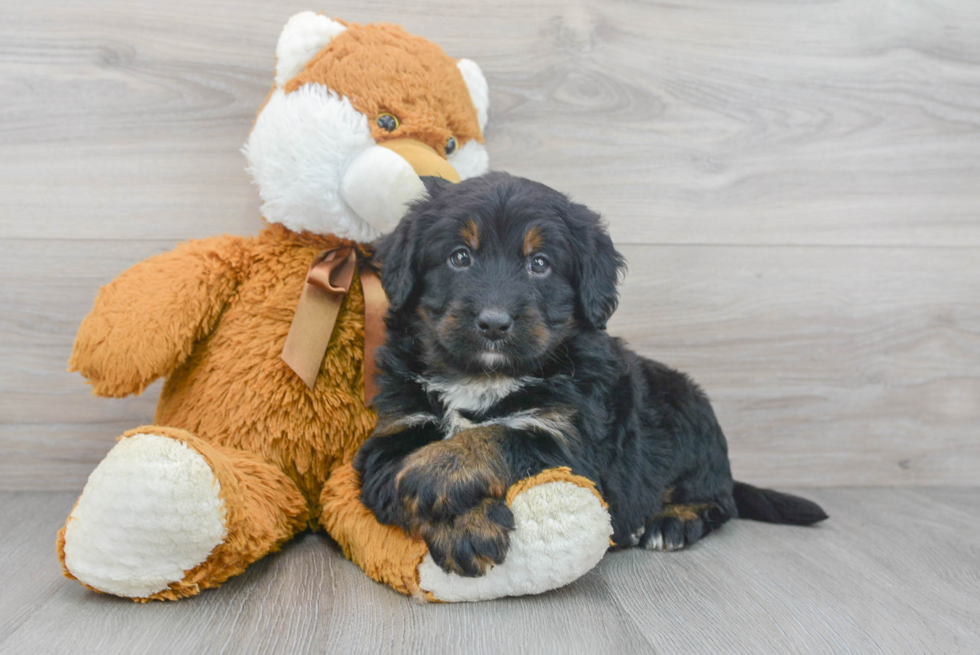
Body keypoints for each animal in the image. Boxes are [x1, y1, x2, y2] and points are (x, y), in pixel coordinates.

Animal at [354, 173, 828, 580]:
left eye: (539, 264)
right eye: (459, 257)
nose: (493, 323)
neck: (483, 377)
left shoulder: (571, 440)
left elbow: (499, 436)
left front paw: (432, 471)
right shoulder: (394, 431)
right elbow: (393, 475)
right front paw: (465, 528)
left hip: (689, 416)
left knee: (719, 502)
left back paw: (670, 523)